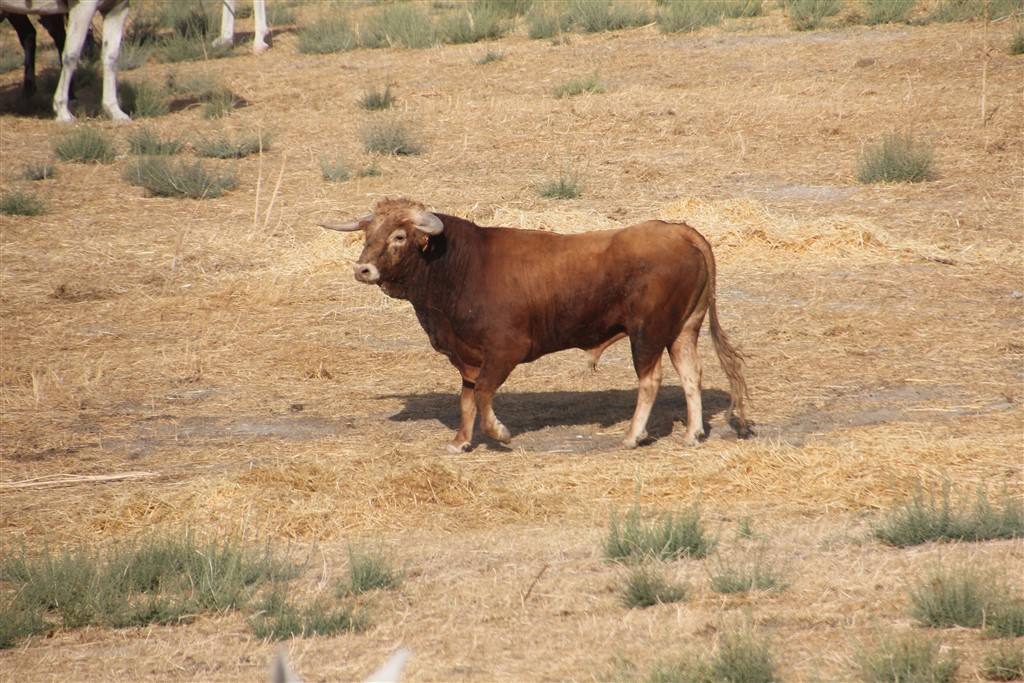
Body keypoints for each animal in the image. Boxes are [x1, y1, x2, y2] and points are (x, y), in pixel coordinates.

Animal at [323, 198, 749, 454]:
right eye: (368, 234)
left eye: (399, 235)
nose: (363, 270)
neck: (460, 266)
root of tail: (680, 230)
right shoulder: (466, 355)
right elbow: (466, 397)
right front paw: (461, 441)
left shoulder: (504, 350)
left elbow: (483, 394)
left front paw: (499, 434)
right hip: (683, 330)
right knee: (691, 375)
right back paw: (692, 434)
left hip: (647, 332)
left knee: (651, 379)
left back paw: (631, 436)